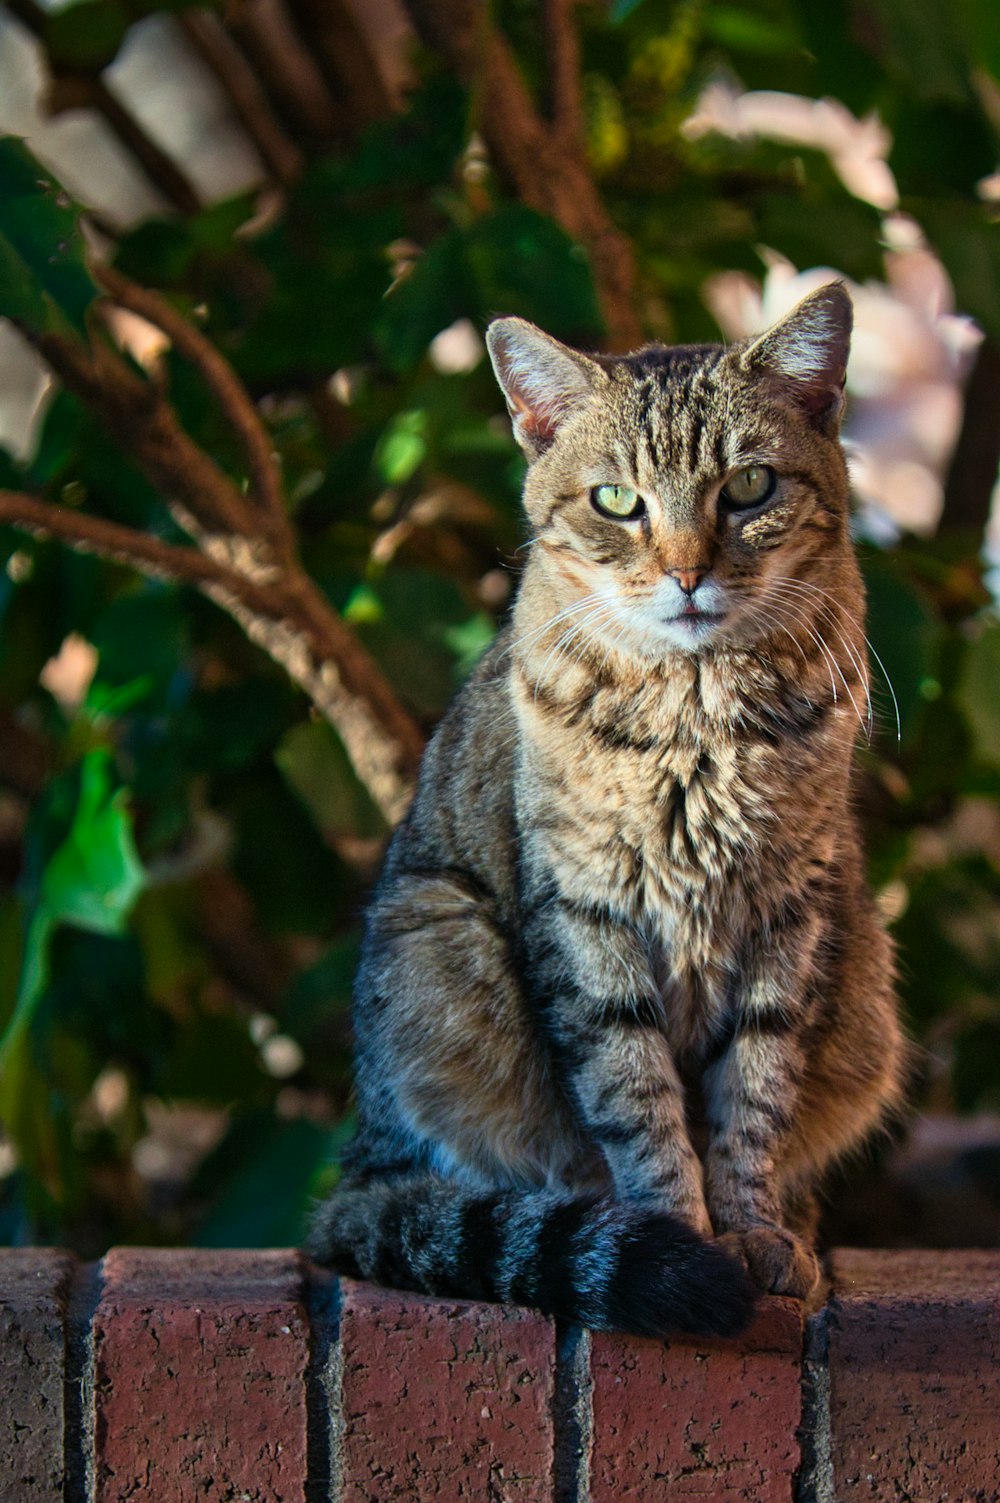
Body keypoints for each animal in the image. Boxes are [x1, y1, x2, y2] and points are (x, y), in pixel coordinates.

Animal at [309, 282, 902, 1340]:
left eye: (750, 487)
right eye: (616, 501)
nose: (688, 572)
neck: (701, 713)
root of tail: (359, 1159)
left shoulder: (792, 908)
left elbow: (755, 1093)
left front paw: (754, 1228)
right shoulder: (587, 914)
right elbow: (635, 1097)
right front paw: (684, 1237)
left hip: (865, 963)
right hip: (434, 942)